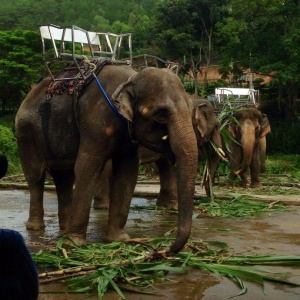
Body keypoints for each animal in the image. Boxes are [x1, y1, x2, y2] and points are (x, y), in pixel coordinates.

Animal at [15, 66, 199, 253]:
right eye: (161, 114)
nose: (166, 249)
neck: (131, 79)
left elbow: (127, 173)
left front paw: (118, 240)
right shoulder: (95, 123)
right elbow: (87, 166)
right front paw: (74, 244)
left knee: (64, 178)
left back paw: (64, 228)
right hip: (26, 134)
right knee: (36, 177)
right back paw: (37, 228)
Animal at [94, 97, 225, 210]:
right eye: (217, 126)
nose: (213, 200)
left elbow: (166, 165)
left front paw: (164, 205)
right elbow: (173, 166)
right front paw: (175, 206)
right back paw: (104, 206)